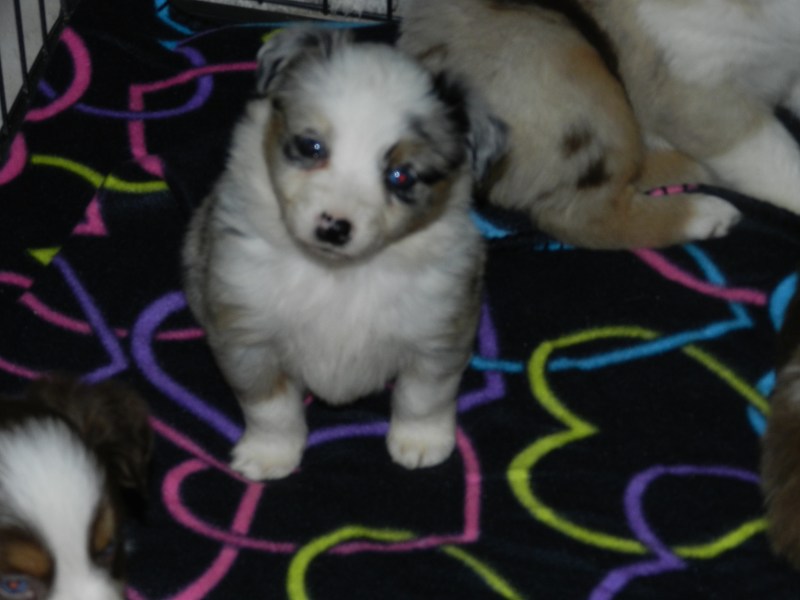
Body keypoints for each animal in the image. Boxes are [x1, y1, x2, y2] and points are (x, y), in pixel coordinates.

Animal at [182, 27, 506, 481]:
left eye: (401, 176)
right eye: (311, 146)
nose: (333, 228)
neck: (338, 273)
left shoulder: (439, 331)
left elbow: (423, 396)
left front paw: (421, 443)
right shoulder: (247, 334)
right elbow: (270, 408)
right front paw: (270, 455)